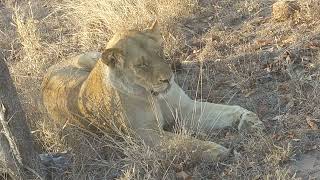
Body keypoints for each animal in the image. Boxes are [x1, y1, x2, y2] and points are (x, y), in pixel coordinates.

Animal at [41, 21, 264, 162]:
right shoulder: (145, 134)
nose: (168, 78)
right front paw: (214, 150)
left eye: (160, 52)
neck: (153, 96)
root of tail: (49, 71)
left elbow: (226, 110)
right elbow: (184, 141)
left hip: (92, 58)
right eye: (141, 65)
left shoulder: (185, 109)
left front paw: (248, 118)